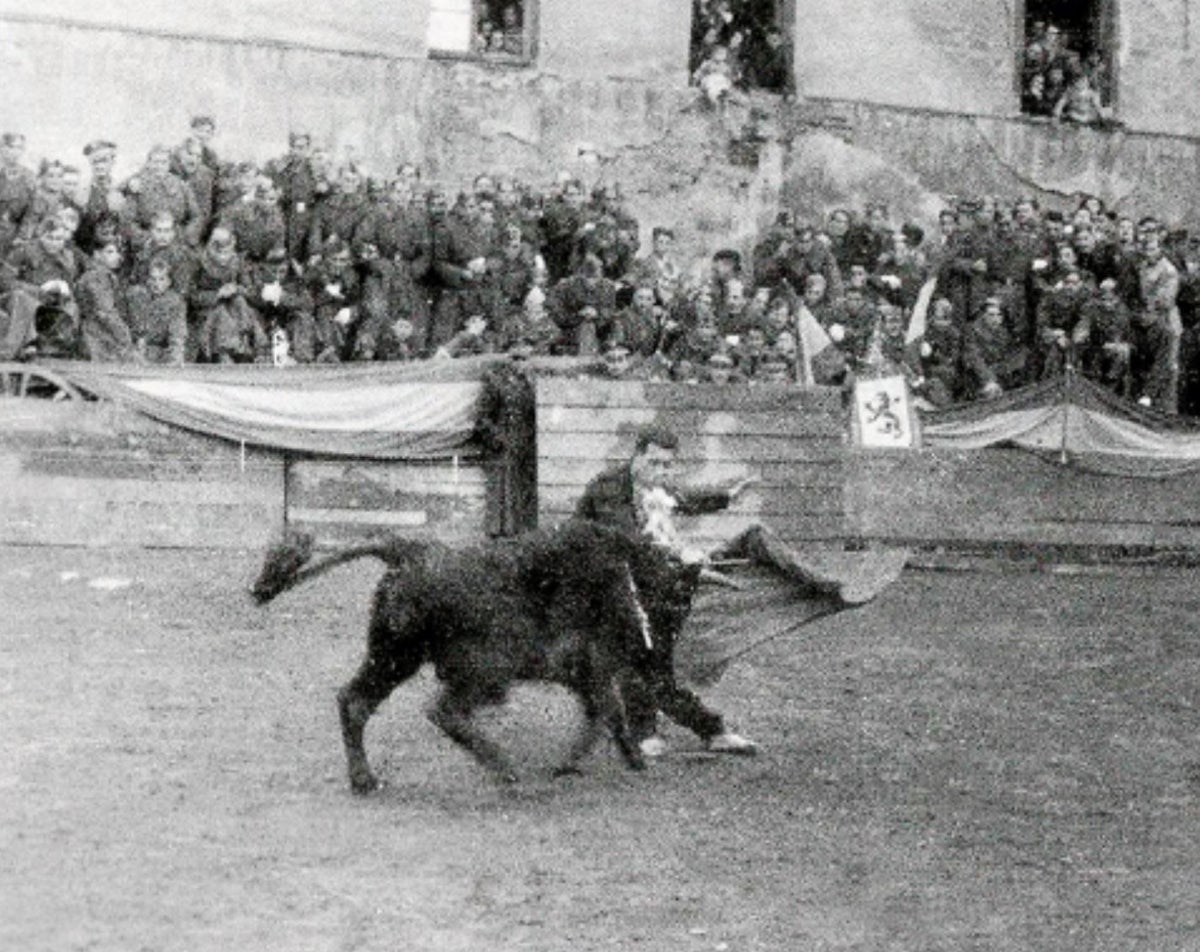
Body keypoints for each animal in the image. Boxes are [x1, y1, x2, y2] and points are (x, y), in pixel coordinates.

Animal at [252, 516, 710, 792]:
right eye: (674, 603)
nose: (666, 670)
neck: (628, 572)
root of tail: (409, 552)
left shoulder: (583, 672)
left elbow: (602, 712)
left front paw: (585, 763)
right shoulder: (591, 665)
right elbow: (608, 711)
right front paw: (626, 758)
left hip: (395, 657)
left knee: (355, 700)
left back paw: (366, 780)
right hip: (482, 670)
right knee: (441, 710)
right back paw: (505, 768)